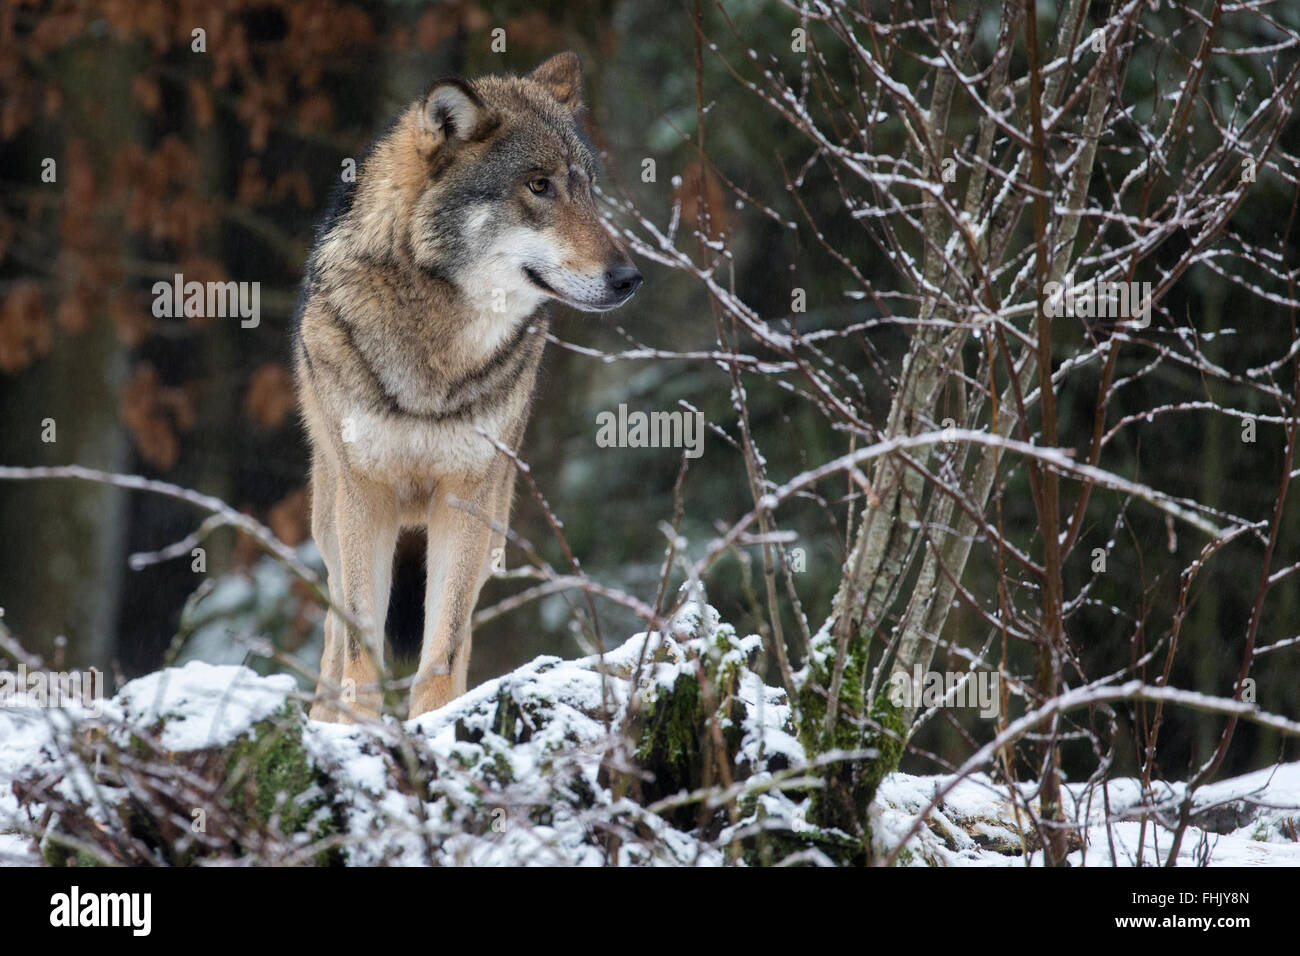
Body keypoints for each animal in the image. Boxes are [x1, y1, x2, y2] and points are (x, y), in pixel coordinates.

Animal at [294, 52, 641, 722]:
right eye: (539, 186)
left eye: (588, 188)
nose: (629, 278)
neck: (436, 354)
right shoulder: (365, 494)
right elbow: (359, 651)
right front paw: (360, 732)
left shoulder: (466, 496)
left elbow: (444, 649)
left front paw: (434, 724)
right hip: (331, 522)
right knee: (331, 644)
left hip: (492, 529)